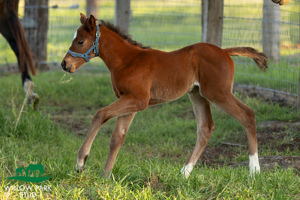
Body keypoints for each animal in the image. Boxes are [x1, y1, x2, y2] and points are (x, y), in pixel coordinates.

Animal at [61, 14, 268, 178]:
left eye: (80, 41)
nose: (64, 64)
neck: (128, 61)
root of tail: (224, 51)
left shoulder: (138, 100)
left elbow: (100, 114)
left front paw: (81, 162)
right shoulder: (129, 101)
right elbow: (117, 138)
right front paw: (106, 175)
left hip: (218, 92)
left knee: (247, 115)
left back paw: (254, 170)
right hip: (197, 94)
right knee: (206, 128)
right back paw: (185, 172)